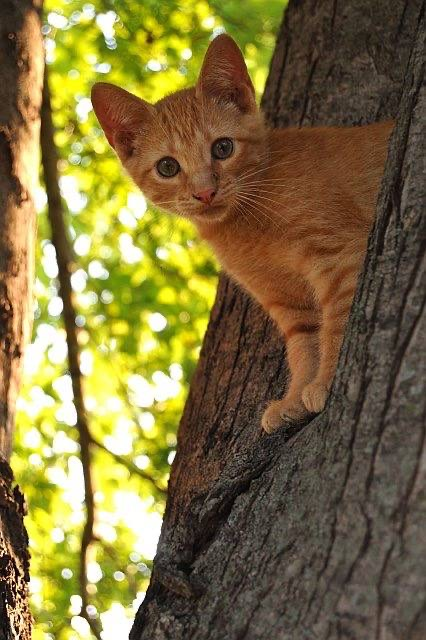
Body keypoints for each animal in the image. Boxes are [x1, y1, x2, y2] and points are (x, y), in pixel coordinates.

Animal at [90, 35, 392, 436]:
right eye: (168, 167)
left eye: (223, 148)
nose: (205, 192)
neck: (247, 222)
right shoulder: (287, 300)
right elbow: (305, 346)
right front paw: (296, 398)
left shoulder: (341, 255)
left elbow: (337, 325)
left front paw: (327, 382)